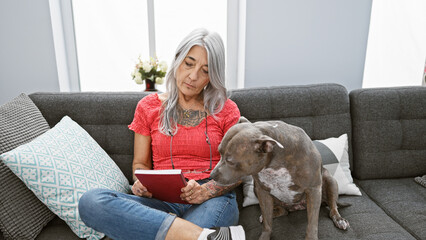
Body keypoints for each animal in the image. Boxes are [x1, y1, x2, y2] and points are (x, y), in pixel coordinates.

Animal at [211, 117, 352, 240]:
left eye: (230, 161)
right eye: (219, 152)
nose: (211, 175)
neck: (275, 162)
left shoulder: (313, 190)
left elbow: (312, 225)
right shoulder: (262, 191)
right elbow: (267, 224)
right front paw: (264, 235)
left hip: (330, 181)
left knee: (333, 206)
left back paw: (339, 220)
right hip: (258, 189)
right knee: (281, 211)